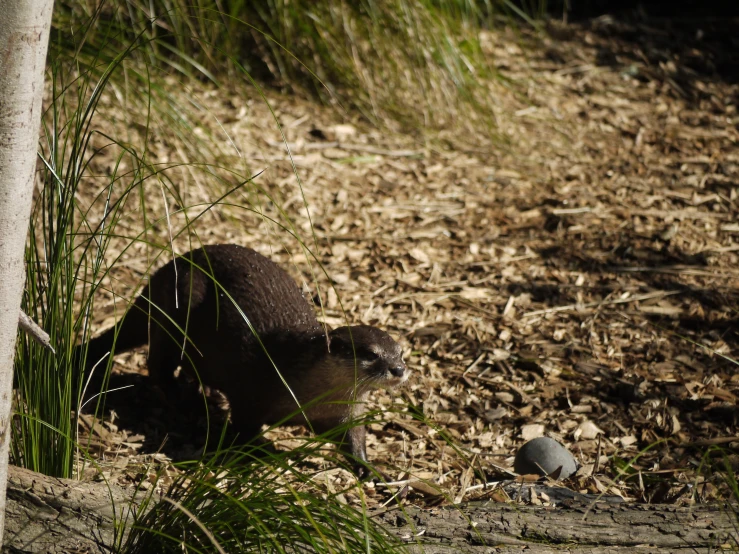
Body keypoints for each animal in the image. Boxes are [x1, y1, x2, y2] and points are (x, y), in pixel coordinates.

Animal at [83, 243, 408, 470]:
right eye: (371, 354)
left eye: (400, 352)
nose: (399, 369)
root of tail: (169, 267)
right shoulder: (252, 393)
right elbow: (244, 428)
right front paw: (263, 453)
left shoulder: (343, 413)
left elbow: (353, 438)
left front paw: (370, 469)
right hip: (176, 311)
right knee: (158, 366)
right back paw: (188, 402)